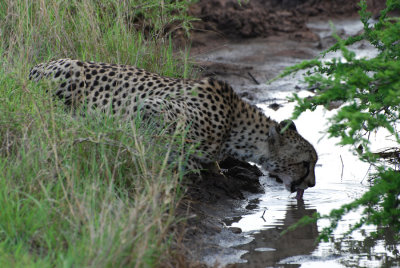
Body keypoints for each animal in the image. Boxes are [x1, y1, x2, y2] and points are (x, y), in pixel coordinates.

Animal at [29, 58, 318, 197]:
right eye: (305, 163)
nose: (313, 185)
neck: (235, 128)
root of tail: (39, 64)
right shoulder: (150, 106)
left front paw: (224, 172)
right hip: (70, 75)